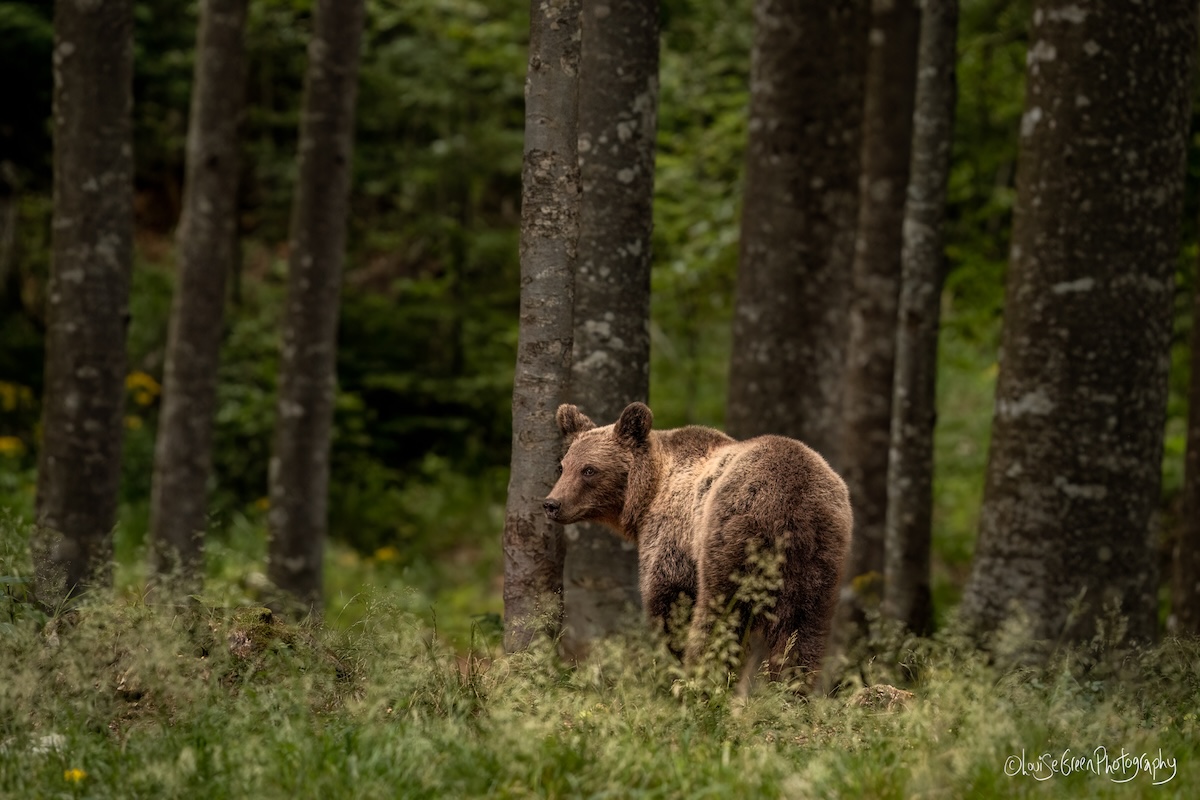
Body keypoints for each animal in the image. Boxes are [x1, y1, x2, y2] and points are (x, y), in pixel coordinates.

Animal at [543, 401, 852, 684]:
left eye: (589, 470)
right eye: (563, 466)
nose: (552, 504)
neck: (649, 492)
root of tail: (792, 502)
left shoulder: (674, 537)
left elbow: (669, 600)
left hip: (732, 533)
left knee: (721, 612)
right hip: (820, 554)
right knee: (804, 628)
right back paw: (789, 689)